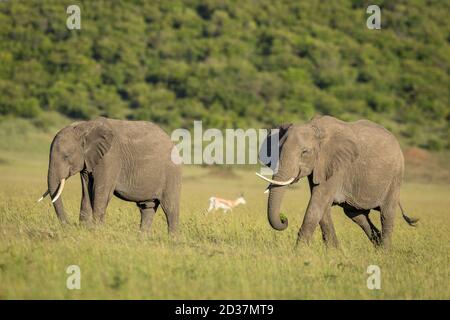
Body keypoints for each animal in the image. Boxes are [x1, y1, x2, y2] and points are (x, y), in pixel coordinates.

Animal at [37, 116, 181, 234]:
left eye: (66, 156)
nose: (69, 225)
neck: (85, 127)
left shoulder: (110, 158)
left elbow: (101, 192)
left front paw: (96, 231)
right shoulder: (87, 161)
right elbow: (86, 192)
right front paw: (85, 229)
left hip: (171, 173)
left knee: (170, 209)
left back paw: (172, 240)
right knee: (147, 207)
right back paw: (142, 239)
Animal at [256, 115, 418, 250]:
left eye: (304, 152)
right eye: (277, 151)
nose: (284, 219)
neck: (314, 127)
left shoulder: (337, 165)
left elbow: (317, 203)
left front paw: (298, 252)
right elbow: (323, 207)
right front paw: (334, 251)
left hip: (396, 176)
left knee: (386, 213)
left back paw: (384, 252)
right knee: (357, 215)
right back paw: (377, 245)